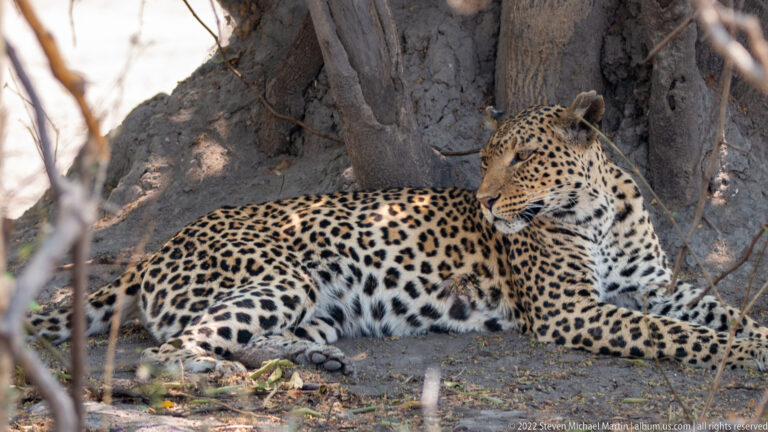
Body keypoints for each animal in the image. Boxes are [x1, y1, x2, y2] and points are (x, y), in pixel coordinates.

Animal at [28, 91, 768, 374]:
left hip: (315, 306)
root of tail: (152, 253)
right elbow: (682, 336)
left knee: (242, 336)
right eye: (486, 155)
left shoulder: (659, 286)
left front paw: (757, 339)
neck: (596, 211)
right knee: (170, 350)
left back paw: (311, 360)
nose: (486, 199)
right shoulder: (572, 312)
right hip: (285, 276)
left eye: (524, 156)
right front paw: (745, 355)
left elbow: (720, 312)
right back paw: (220, 375)